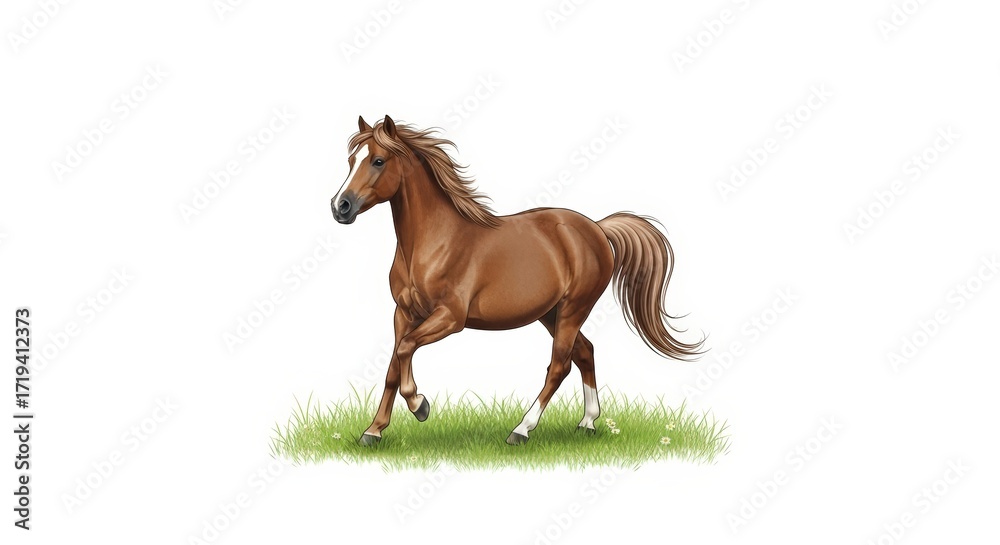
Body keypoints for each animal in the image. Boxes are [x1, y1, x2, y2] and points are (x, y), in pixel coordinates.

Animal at [331, 115, 704, 446]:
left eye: (378, 161)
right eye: (351, 160)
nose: (340, 207)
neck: (435, 242)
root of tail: (597, 228)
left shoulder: (450, 318)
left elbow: (406, 349)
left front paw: (420, 405)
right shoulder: (403, 313)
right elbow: (394, 365)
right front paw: (373, 431)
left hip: (574, 308)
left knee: (559, 366)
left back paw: (522, 430)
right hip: (550, 313)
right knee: (585, 352)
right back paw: (587, 423)